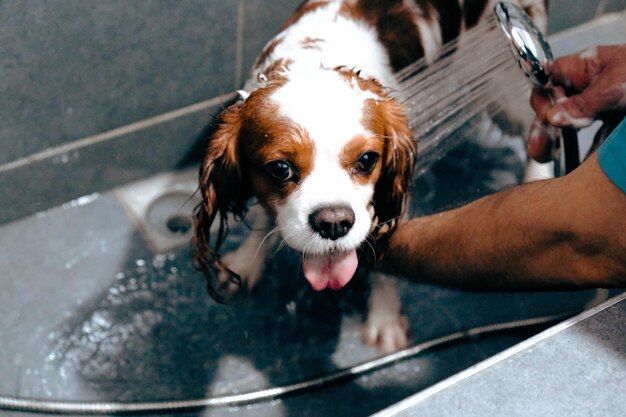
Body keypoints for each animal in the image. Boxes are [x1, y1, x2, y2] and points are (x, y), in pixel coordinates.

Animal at [193, 0, 544, 352]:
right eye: (280, 169)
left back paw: (537, 179)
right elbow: (263, 216)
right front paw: (247, 260)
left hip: (504, 79)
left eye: (366, 160)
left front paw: (384, 319)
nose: (334, 223)